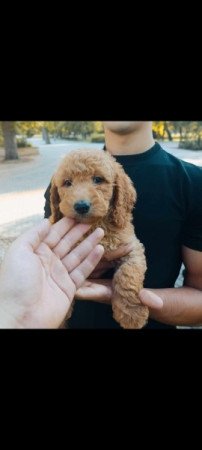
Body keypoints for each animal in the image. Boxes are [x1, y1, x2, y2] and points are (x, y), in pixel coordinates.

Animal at [49, 149, 148, 328]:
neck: (95, 225)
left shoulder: (132, 249)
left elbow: (128, 276)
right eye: (67, 182)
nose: (81, 206)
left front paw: (132, 314)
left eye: (98, 179)